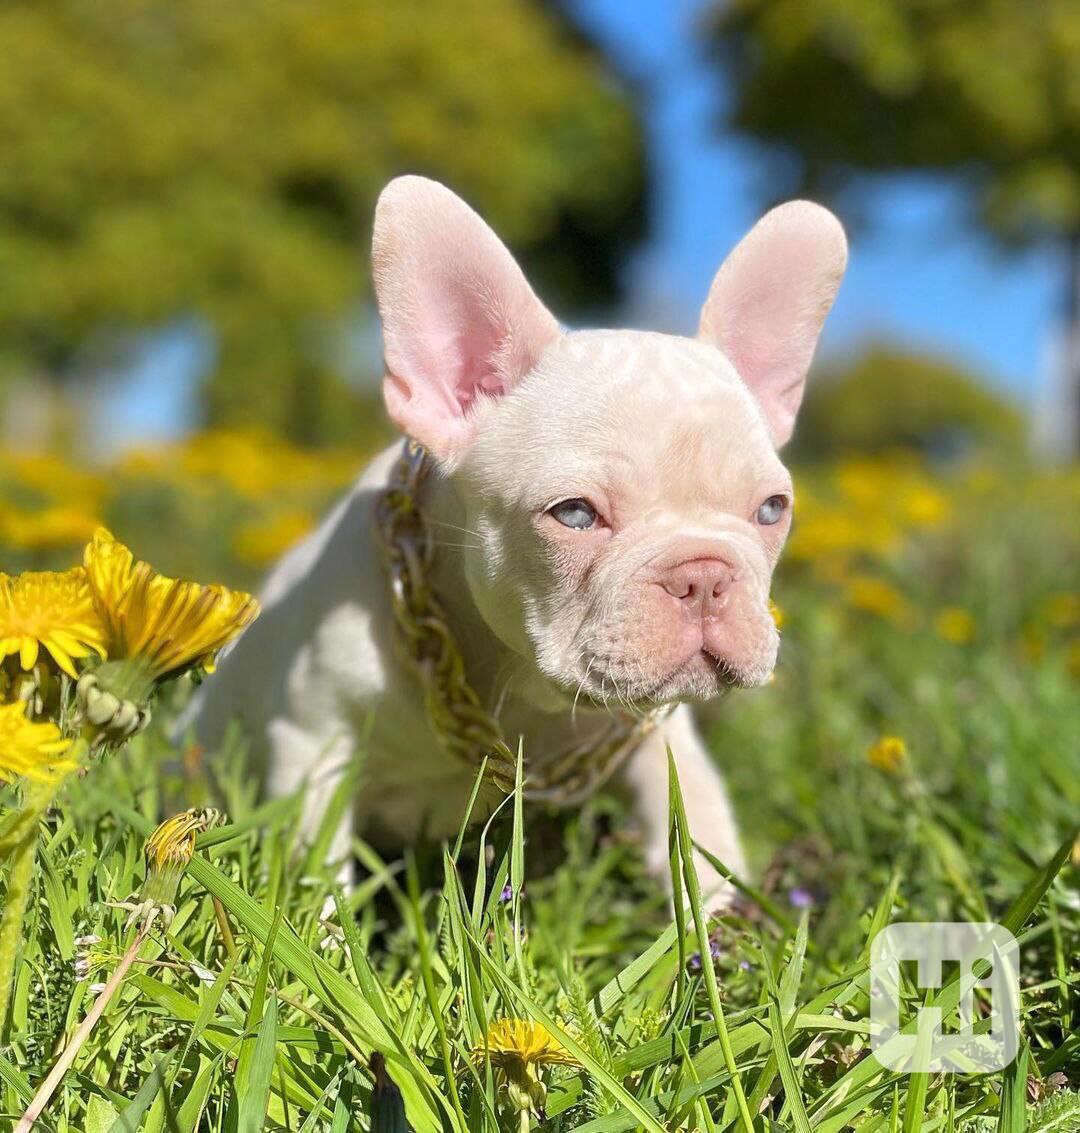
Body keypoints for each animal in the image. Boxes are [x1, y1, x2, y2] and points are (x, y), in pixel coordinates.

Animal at [189, 174, 847, 892]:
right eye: (575, 514)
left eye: (772, 510)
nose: (703, 575)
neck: (520, 687)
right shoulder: (313, 748)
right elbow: (314, 875)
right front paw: (316, 920)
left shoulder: (656, 736)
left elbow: (697, 820)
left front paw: (725, 914)